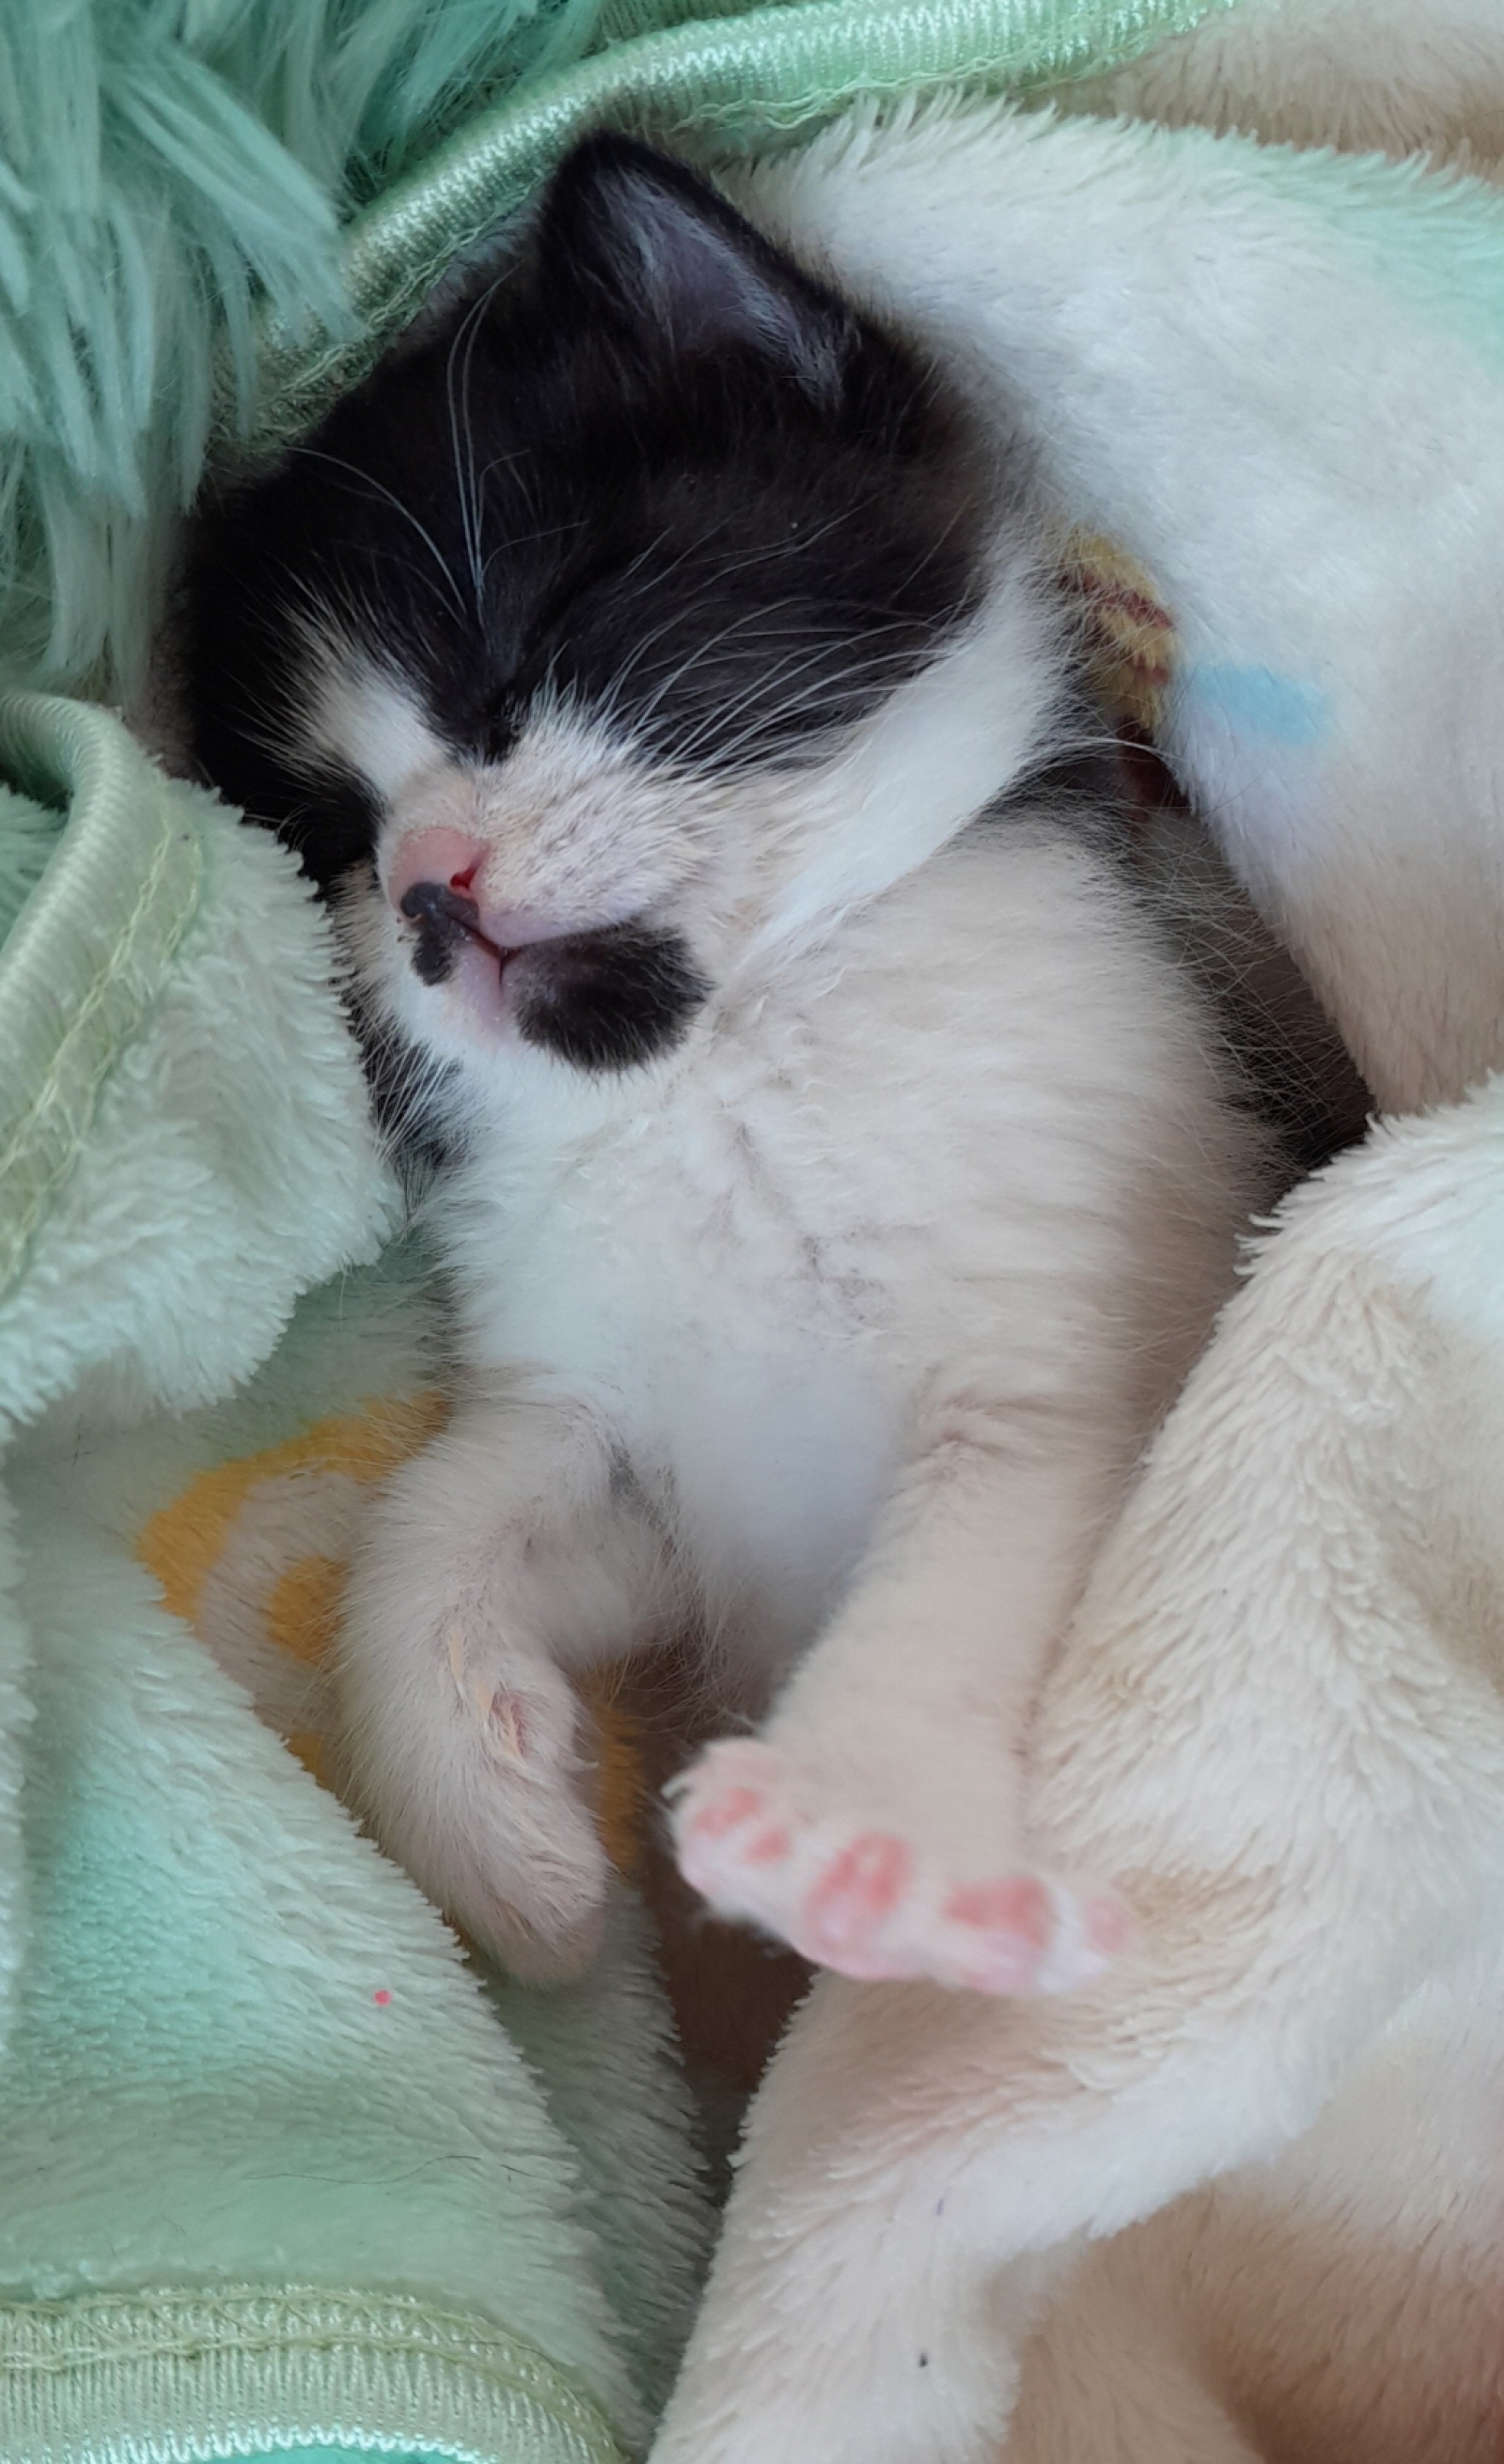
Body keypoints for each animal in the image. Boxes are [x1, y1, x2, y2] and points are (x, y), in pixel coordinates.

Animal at [180, 131, 1271, 1994]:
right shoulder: (615, 1436)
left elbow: (995, 1529)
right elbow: (435, 1519)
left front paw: (863, 1826)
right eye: (330, 833)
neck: (721, 1061)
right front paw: (489, 1826)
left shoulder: (1083, 1313)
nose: (424, 887)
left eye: (523, 652)